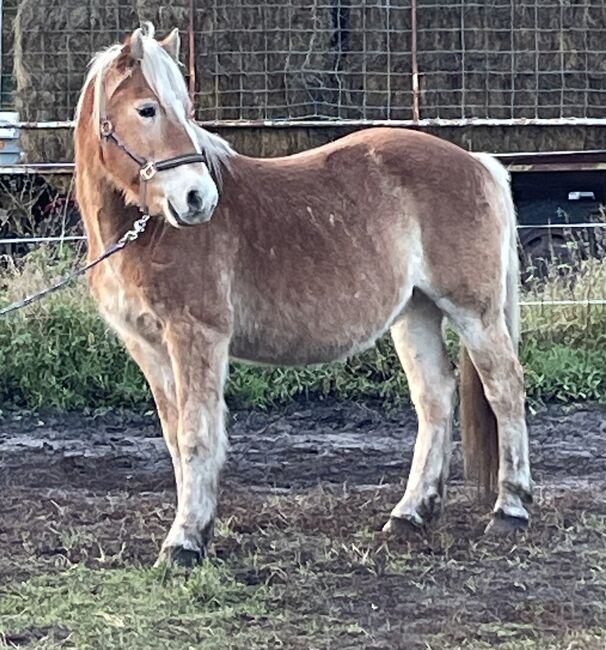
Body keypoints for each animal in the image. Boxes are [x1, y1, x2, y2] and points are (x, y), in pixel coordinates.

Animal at [75, 22, 532, 564]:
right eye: (147, 109)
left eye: (185, 110)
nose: (197, 199)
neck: (148, 231)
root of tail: (480, 162)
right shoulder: (147, 344)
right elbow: (174, 435)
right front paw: (196, 530)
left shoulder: (197, 335)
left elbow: (196, 435)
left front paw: (184, 540)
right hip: (415, 312)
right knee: (435, 397)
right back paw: (410, 514)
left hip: (473, 312)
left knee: (505, 389)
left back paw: (510, 510)